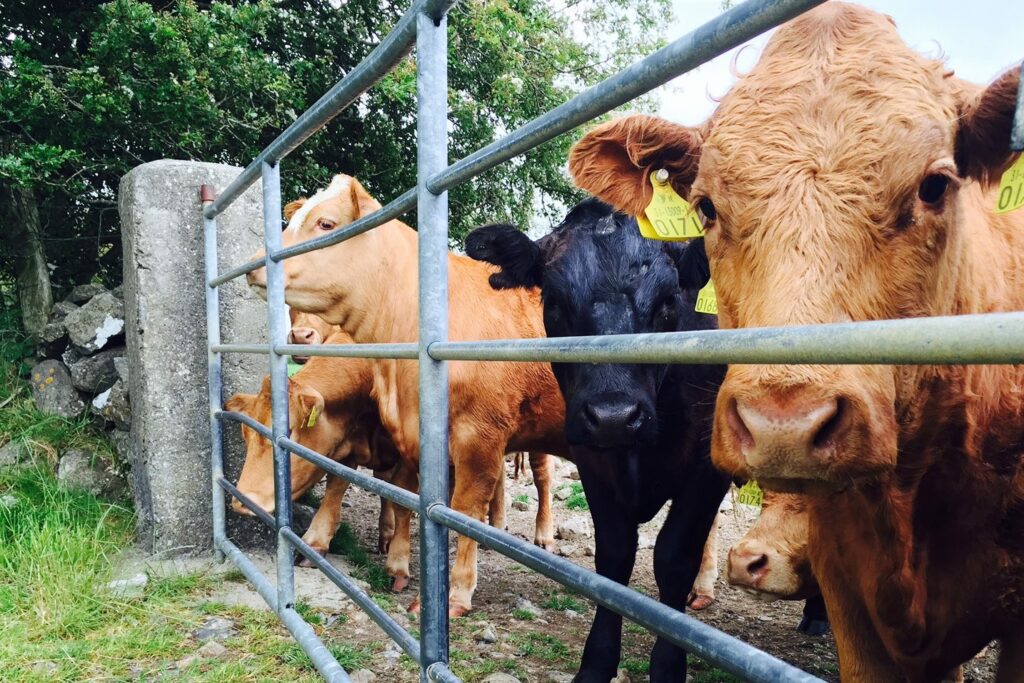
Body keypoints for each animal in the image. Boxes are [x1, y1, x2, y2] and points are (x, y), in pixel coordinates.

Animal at [246, 176, 568, 615]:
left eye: (326, 223)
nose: (257, 265)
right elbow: (381, 493)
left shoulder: (479, 437)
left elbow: (464, 508)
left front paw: (456, 592)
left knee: (542, 477)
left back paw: (543, 535)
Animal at [465, 199, 730, 682]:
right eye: (553, 302)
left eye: (668, 301)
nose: (613, 417)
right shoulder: (593, 460)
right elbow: (613, 557)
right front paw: (597, 662)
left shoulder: (706, 465)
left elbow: (673, 559)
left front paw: (669, 665)